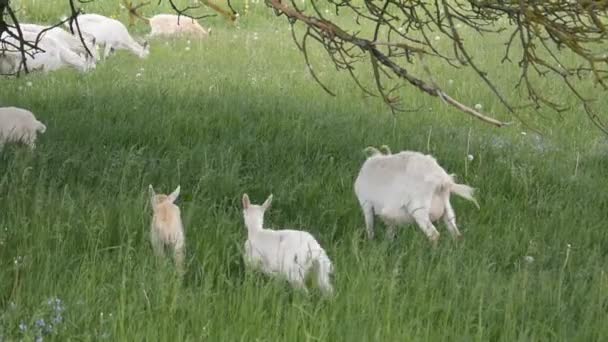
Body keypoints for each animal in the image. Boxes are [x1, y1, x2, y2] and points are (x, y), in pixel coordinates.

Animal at [352, 146, 480, 244]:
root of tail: (442, 181)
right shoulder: (390, 215)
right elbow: (390, 229)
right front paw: (388, 244)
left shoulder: (366, 203)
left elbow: (370, 226)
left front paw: (371, 242)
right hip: (447, 209)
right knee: (455, 233)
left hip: (419, 210)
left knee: (434, 235)